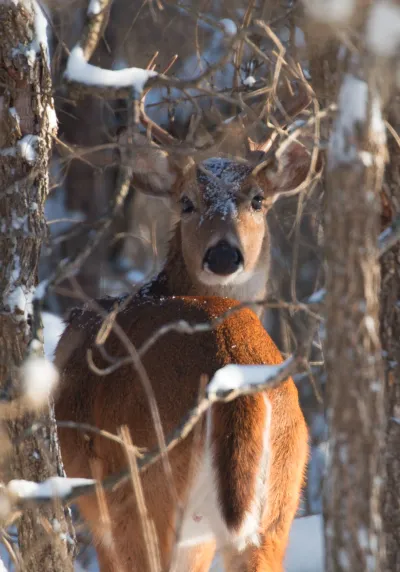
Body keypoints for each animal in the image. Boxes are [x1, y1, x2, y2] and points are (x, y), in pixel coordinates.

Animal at [54, 87, 316, 571]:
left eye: (257, 199)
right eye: (187, 201)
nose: (223, 254)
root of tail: (233, 378)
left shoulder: (101, 508)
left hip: (144, 485)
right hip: (279, 500)